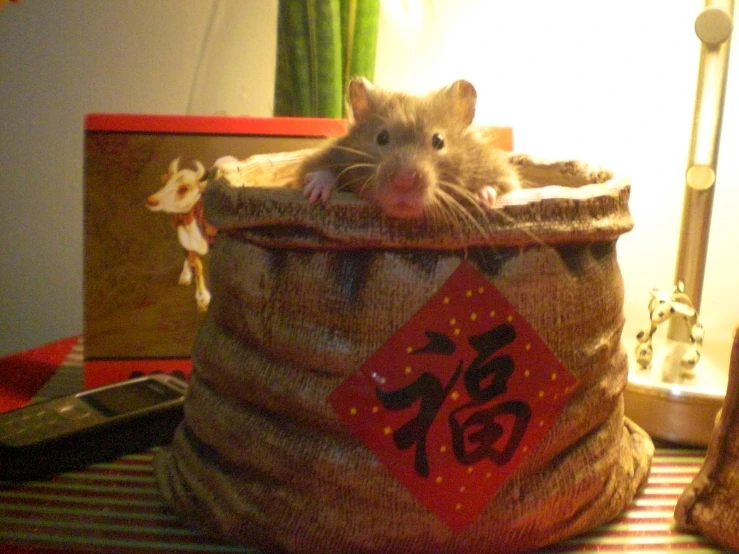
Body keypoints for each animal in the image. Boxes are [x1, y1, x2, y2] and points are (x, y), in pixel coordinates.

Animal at [294, 78, 520, 220]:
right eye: (382, 137)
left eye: (438, 141)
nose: (403, 182)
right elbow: (318, 171)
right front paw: (316, 193)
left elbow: (501, 184)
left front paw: (484, 199)